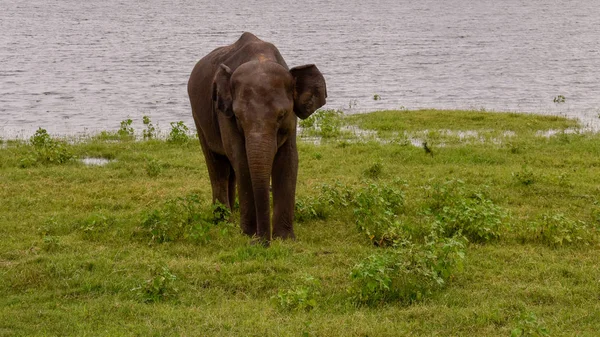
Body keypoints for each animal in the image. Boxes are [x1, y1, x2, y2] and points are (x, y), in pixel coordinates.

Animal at [188, 32, 328, 242]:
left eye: (281, 115)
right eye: (238, 116)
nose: (263, 241)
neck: (260, 58)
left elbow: (288, 160)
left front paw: (285, 239)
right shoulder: (225, 114)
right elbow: (241, 160)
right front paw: (248, 234)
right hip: (198, 116)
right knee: (218, 166)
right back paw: (224, 221)